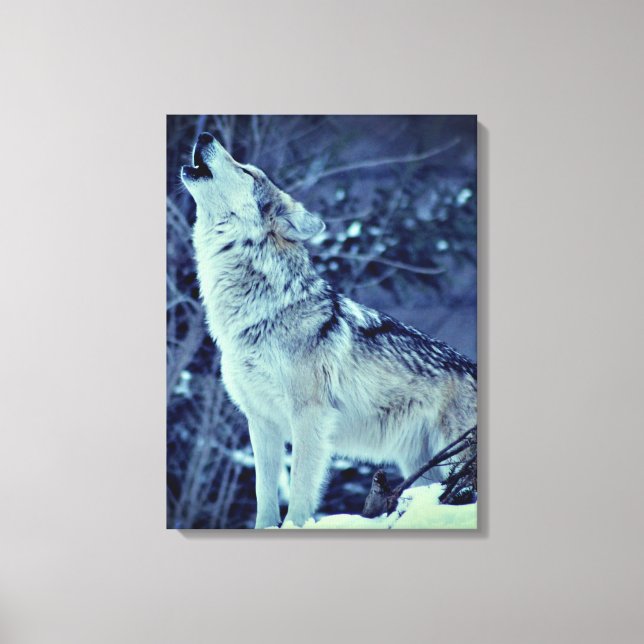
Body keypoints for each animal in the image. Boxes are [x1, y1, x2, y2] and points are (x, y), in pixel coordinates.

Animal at [181, 132, 477, 528]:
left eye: (246, 170)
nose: (205, 135)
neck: (260, 312)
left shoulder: (309, 417)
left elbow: (300, 493)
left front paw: (296, 526)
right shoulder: (261, 421)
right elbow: (264, 496)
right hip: (421, 465)